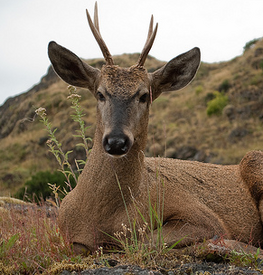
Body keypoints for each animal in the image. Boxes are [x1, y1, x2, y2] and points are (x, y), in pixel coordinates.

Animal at [47, 3, 263, 256]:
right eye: (100, 94)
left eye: (143, 96)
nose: (116, 141)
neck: (101, 215)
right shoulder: (68, 235)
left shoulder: (204, 217)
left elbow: (139, 242)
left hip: (253, 160)